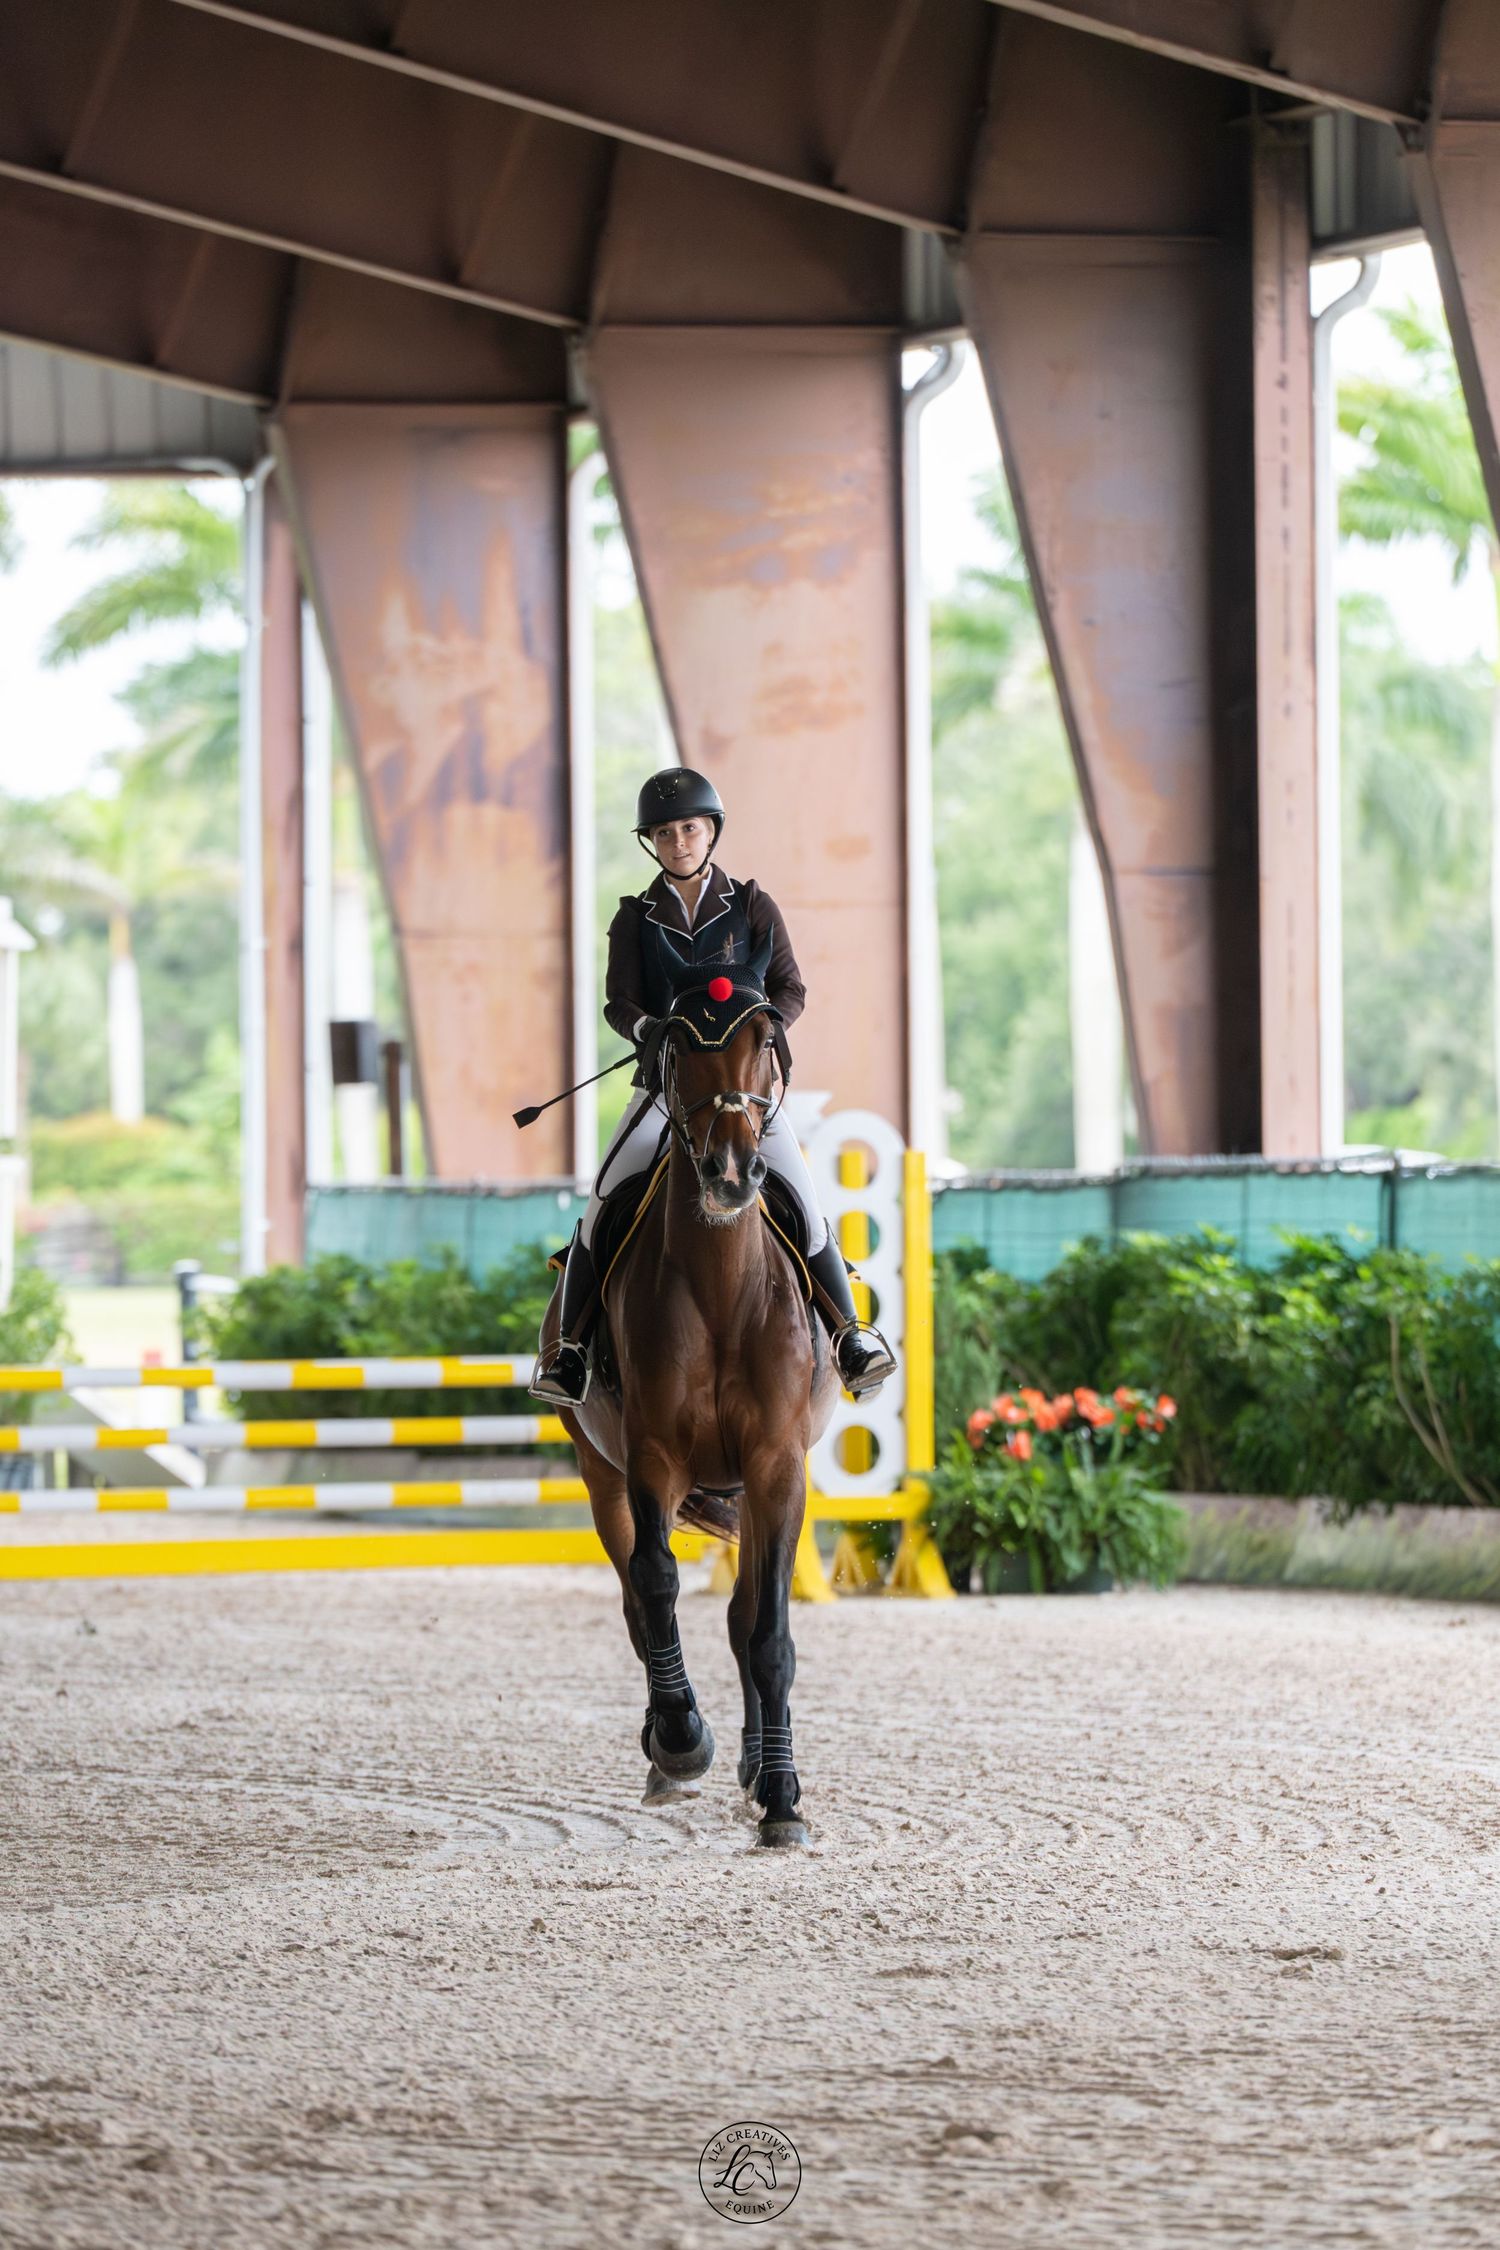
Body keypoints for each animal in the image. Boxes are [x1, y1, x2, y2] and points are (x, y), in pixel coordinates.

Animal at [541, 962, 839, 1849]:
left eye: (764, 1039)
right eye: (675, 1046)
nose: (732, 1172)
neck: (719, 1285)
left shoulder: (776, 1465)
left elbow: (767, 1632)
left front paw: (781, 1796)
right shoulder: (651, 1459)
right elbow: (656, 1583)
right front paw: (680, 1741)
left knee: (741, 1616)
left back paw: (752, 1764)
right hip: (600, 1473)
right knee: (638, 1601)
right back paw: (668, 1753)